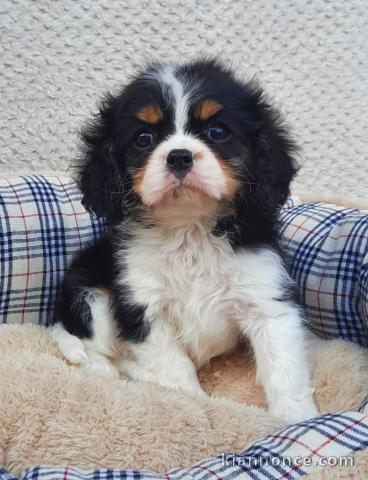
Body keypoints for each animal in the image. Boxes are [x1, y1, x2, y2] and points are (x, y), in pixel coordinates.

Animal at [53, 58, 318, 422]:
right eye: (144, 138)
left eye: (217, 131)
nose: (179, 155)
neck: (189, 228)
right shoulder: (143, 307)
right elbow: (174, 368)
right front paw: (193, 403)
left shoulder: (266, 300)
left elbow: (284, 370)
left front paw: (297, 421)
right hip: (89, 294)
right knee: (86, 342)